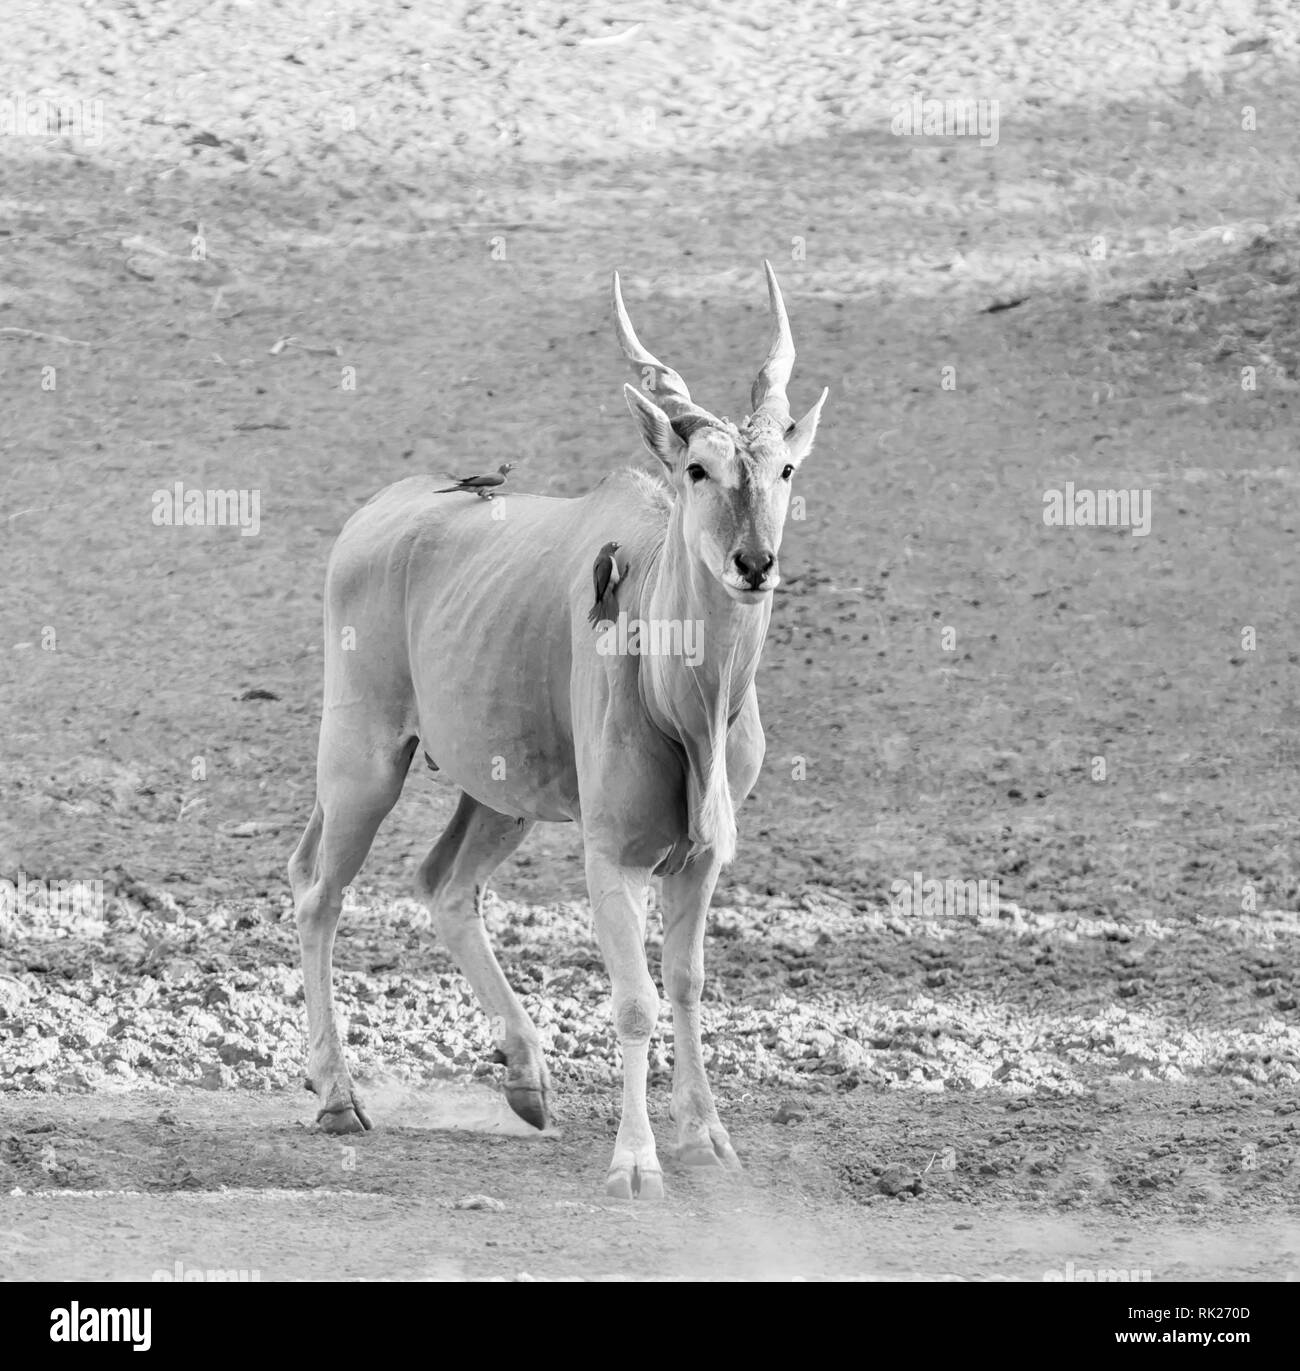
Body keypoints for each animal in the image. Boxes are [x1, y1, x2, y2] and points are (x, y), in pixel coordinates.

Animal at [289, 259, 828, 1200]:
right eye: (697, 468)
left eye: (786, 468)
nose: (754, 562)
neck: (683, 699)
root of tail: (376, 516)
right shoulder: (611, 851)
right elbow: (636, 998)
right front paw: (636, 1161)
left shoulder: (701, 858)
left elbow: (686, 981)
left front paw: (707, 1136)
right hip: (364, 763)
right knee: (321, 893)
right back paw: (337, 1097)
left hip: (499, 796)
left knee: (444, 884)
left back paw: (527, 1077)